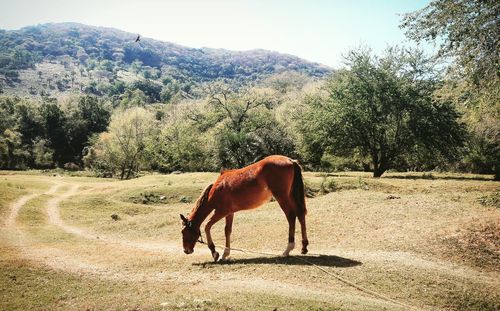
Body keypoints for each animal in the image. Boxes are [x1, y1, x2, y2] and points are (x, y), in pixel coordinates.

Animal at [180, 155, 308, 262]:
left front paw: (214, 252)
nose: (186, 250)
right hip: (291, 196)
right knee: (300, 214)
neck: (216, 189)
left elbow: (207, 226)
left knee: (291, 216)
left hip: (282, 197)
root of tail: (290, 160)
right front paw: (224, 254)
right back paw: (304, 247)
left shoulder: (221, 212)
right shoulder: (229, 213)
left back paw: (288, 249)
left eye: (184, 232)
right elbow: (227, 231)